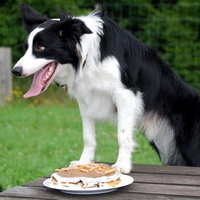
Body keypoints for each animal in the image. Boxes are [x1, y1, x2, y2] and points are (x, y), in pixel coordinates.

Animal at [12, 2, 200, 173]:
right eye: (26, 48)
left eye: (40, 47)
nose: (16, 71)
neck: (87, 56)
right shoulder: (85, 98)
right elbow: (88, 137)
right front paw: (83, 162)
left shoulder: (125, 94)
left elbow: (123, 135)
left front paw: (122, 165)